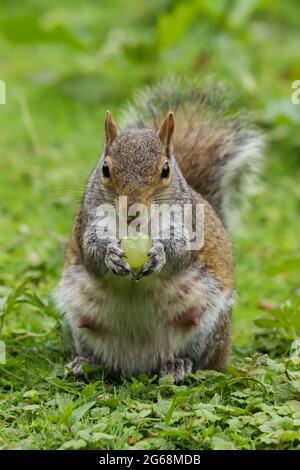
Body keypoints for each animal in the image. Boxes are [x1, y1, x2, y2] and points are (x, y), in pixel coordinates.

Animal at [56, 78, 262, 382]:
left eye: (165, 169)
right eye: (105, 168)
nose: (133, 210)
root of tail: (136, 364)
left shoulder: (189, 223)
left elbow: (181, 252)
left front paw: (160, 254)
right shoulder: (88, 222)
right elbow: (91, 253)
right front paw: (110, 255)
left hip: (209, 326)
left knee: (200, 359)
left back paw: (178, 364)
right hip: (79, 321)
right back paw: (86, 362)